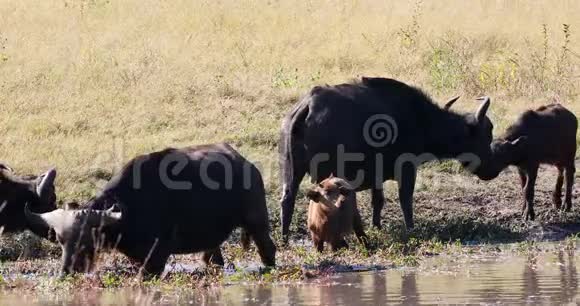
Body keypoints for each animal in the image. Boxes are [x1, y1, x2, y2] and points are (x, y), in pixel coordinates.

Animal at [24, 145, 274, 276]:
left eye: (87, 240)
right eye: (61, 241)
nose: (67, 271)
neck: (129, 212)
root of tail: (247, 164)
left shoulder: (157, 259)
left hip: (257, 220)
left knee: (267, 248)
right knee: (212, 257)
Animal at [280, 77, 494, 241]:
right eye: (487, 133)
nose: (491, 169)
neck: (421, 119)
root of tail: (308, 106)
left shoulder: (376, 175)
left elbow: (378, 201)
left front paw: (377, 227)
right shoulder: (407, 168)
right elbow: (405, 199)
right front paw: (411, 229)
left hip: (291, 170)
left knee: (287, 200)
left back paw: (284, 238)